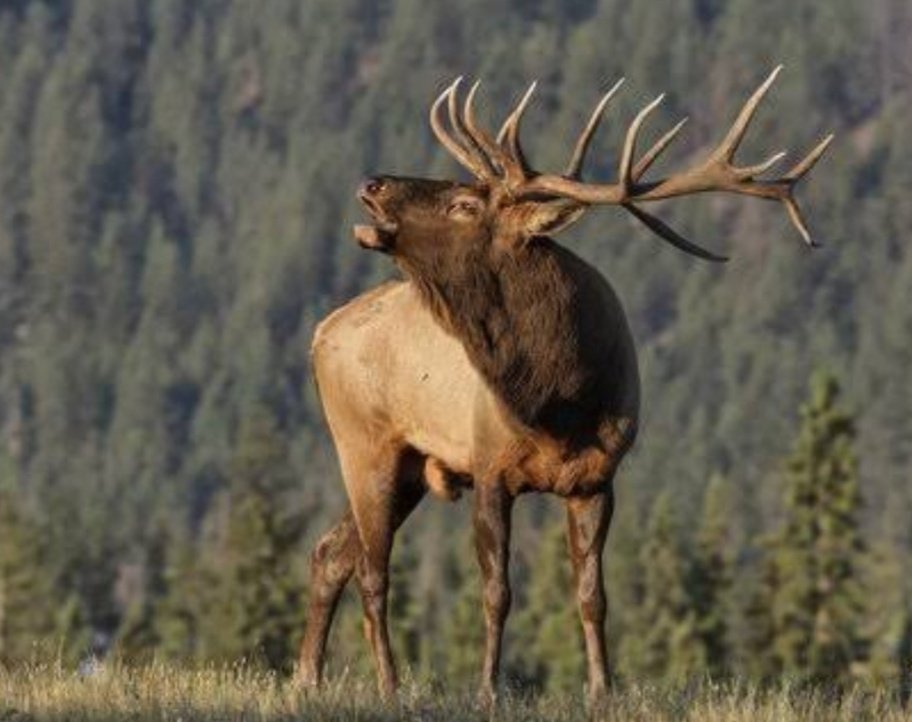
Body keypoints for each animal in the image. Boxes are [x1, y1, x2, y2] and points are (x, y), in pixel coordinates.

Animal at [297, 66, 831, 704]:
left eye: (463, 202)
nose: (371, 182)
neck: (559, 401)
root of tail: (320, 332)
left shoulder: (599, 478)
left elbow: (592, 595)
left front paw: (602, 688)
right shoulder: (490, 468)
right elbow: (496, 592)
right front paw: (488, 689)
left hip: (407, 469)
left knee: (333, 553)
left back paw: (308, 678)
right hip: (365, 443)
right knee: (374, 572)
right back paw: (388, 686)